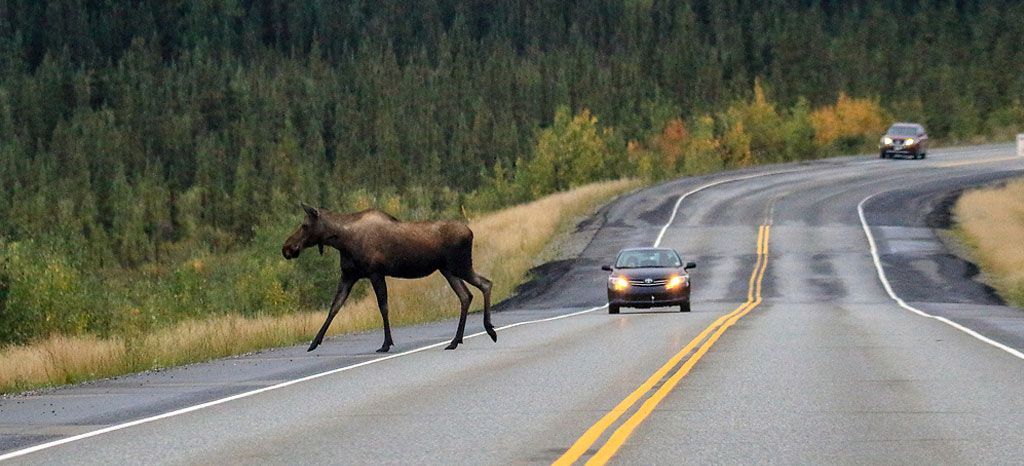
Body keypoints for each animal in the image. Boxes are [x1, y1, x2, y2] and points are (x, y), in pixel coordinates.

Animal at [282, 202, 493, 352]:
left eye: (305, 225)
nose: (287, 248)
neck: (342, 241)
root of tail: (470, 232)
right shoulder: (348, 275)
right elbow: (334, 307)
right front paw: (314, 342)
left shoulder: (375, 273)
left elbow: (383, 306)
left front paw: (386, 343)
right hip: (448, 270)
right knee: (466, 295)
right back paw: (456, 341)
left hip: (460, 266)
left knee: (485, 284)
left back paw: (489, 330)